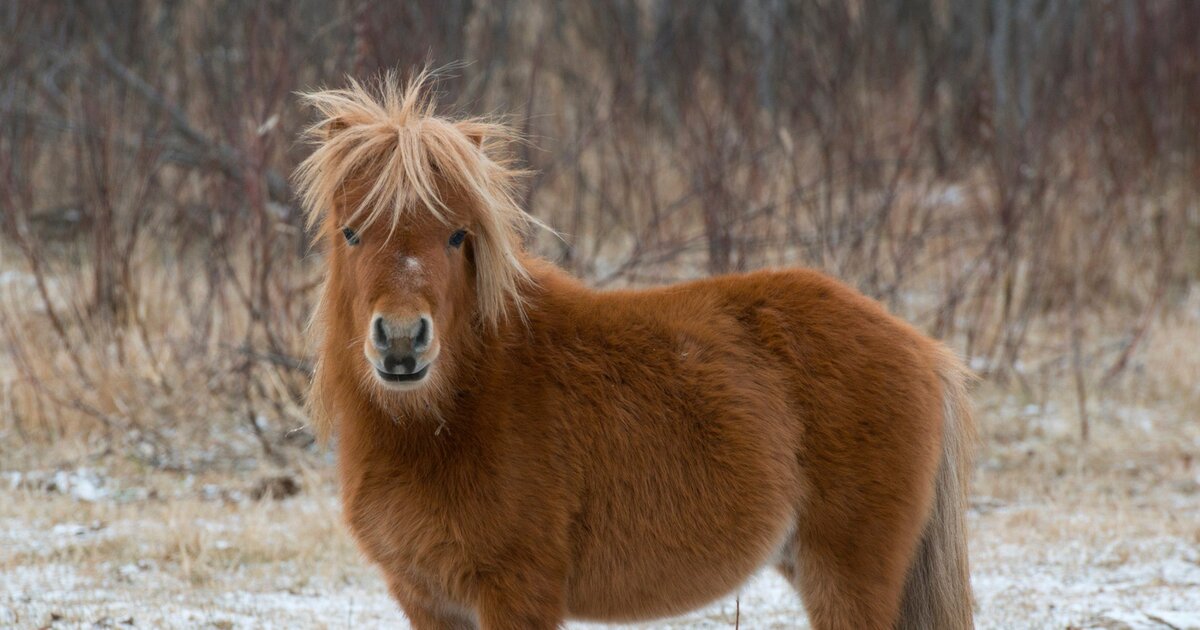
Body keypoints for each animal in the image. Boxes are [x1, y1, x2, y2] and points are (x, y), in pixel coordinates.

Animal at [295, 72, 976, 630]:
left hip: (848, 579)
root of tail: (921, 348)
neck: (454, 414)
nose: (401, 341)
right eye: (351, 232)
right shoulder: (428, 601)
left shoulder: (517, 593)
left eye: (457, 235)